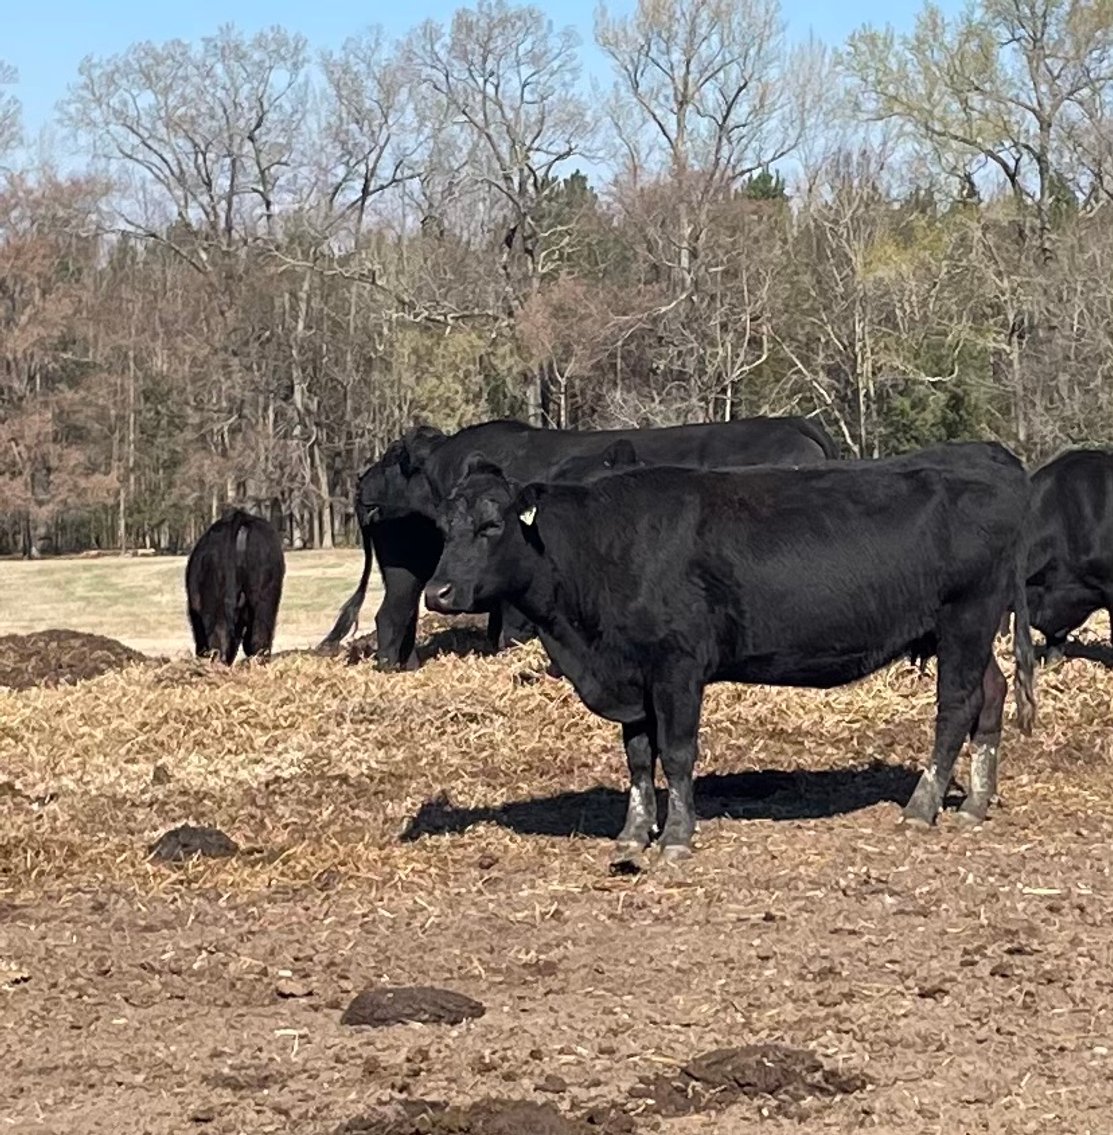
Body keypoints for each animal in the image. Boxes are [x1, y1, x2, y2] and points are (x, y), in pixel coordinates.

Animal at [320, 415, 840, 670]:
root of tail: (792, 424)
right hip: (407, 567)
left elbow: (508, 627)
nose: (362, 482)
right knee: (394, 614)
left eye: (392, 456)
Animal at [422, 442, 1036, 866]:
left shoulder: (676, 667)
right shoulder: (631, 674)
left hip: (966, 618)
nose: (438, 593)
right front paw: (632, 834)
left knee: (955, 707)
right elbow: (639, 758)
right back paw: (975, 803)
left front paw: (676, 837)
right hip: (966, 630)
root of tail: (988, 454)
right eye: (444, 527)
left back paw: (921, 807)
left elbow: (676, 754)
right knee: (992, 694)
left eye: (491, 525)